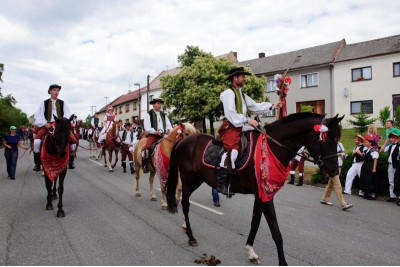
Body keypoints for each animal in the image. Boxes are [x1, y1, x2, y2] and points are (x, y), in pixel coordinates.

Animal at [167, 112, 346, 266]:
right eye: (327, 141)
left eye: (337, 139)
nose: (334, 171)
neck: (272, 148)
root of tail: (184, 140)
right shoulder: (265, 197)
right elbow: (276, 232)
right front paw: (283, 262)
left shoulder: (261, 195)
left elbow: (255, 223)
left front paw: (251, 252)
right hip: (188, 178)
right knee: (184, 203)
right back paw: (191, 236)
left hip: (197, 179)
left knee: (184, 201)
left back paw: (185, 227)